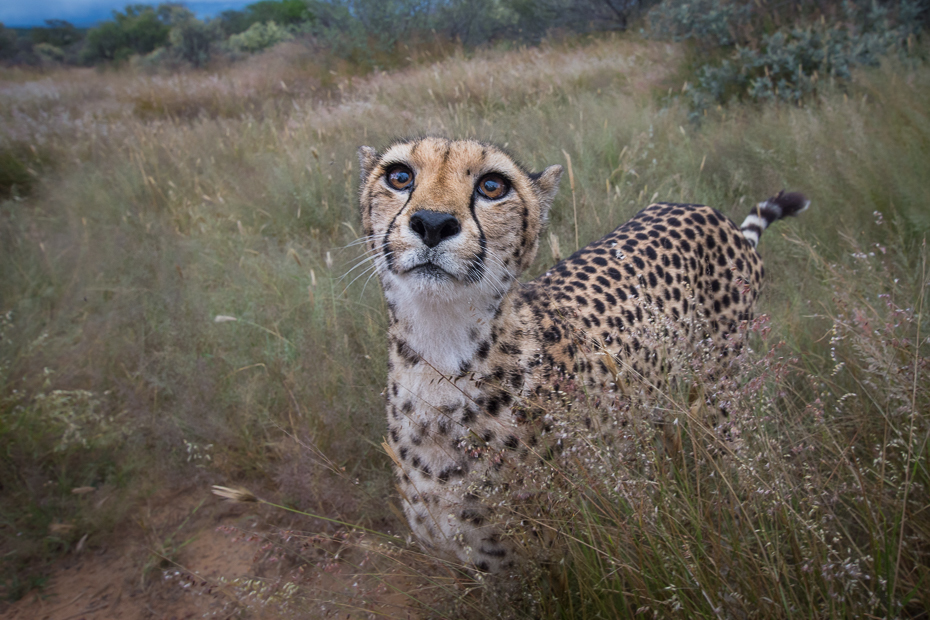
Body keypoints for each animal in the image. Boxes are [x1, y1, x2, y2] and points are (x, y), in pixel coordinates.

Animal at [356, 138, 804, 572]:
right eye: (399, 176)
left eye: (492, 186)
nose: (432, 223)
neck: (441, 359)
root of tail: (707, 212)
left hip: (719, 394)